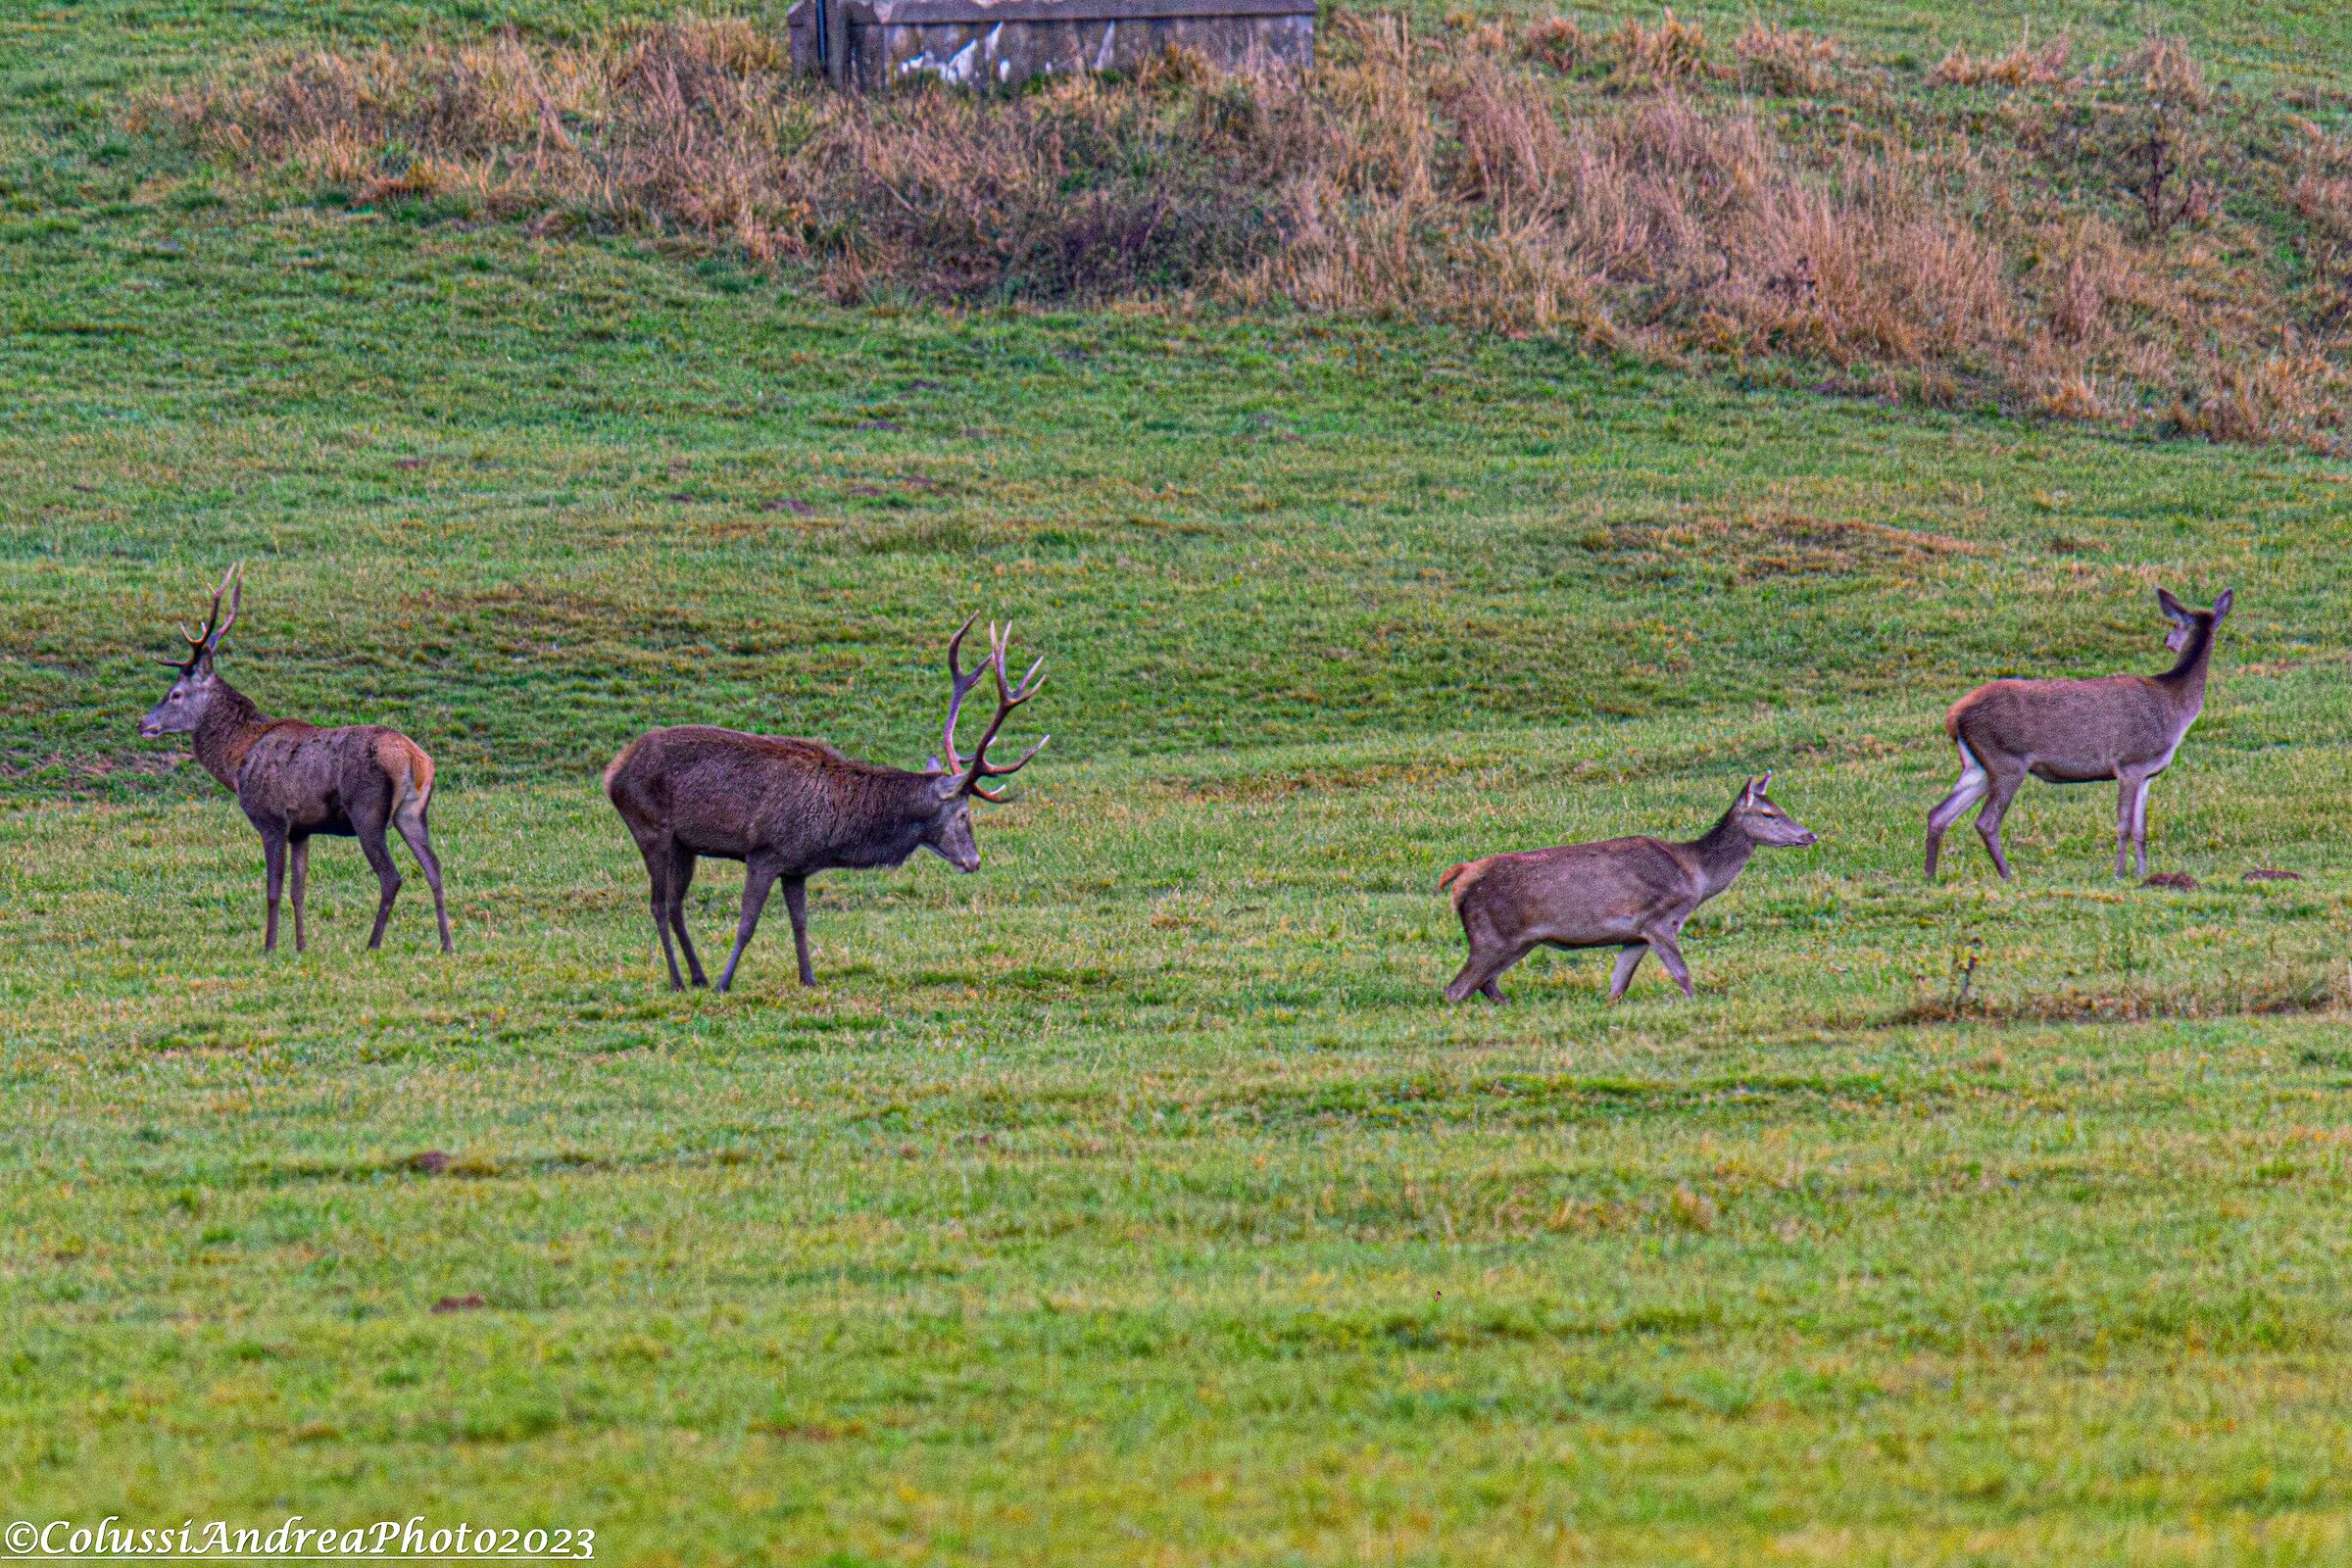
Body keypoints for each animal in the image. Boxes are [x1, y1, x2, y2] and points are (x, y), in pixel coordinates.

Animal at [137, 563, 453, 955]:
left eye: (176, 693)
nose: (143, 722)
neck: (236, 761)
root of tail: (415, 759)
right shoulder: (302, 828)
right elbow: (298, 890)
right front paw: (302, 946)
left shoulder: (271, 818)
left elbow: (273, 890)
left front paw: (270, 947)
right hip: (412, 812)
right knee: (435, 868)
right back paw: (447, 943)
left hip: (368, 810)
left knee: (391, 877)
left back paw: (373, 943)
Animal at [604, 615, 1047, 994]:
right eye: (964, 813)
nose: (974, 861)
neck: (830, 833)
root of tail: (613, 772)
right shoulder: (764, 851)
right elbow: (747, 923)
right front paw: (726, 983)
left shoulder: (795, 866)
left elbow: (800, 922)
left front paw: (809, 979)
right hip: (651, 829)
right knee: (658, 904)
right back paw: (681, 980)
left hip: (685, 845)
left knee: (675, 904)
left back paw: (696, 976)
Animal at [1440, 773, 1817, 1004]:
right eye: (1768, 814)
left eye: (1781, 808)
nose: (1809, 835)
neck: (1696, 875)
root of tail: (1461, 879)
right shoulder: (1659, 918)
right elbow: (1681, 973)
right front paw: (1696, 1004)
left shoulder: (1635, 935)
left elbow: (1617, 987)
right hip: (1491, 935)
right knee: (1456, 988)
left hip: (1519, 941)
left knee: (1485, 983)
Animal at [1925, 587, 2233, 882]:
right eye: (2175, 622)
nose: (2167, 639)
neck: (2174, 706)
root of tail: (1954, 715)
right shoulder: (2129, 763)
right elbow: (2123, 825)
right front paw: (2119, 874)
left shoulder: (2148, 774)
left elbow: (2141, 829)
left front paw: (2143, 874)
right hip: (2006, 760)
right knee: (1986, 822)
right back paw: (2007, 875)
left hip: (1978, 766)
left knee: (1938, 814)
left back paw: (1930, 875)